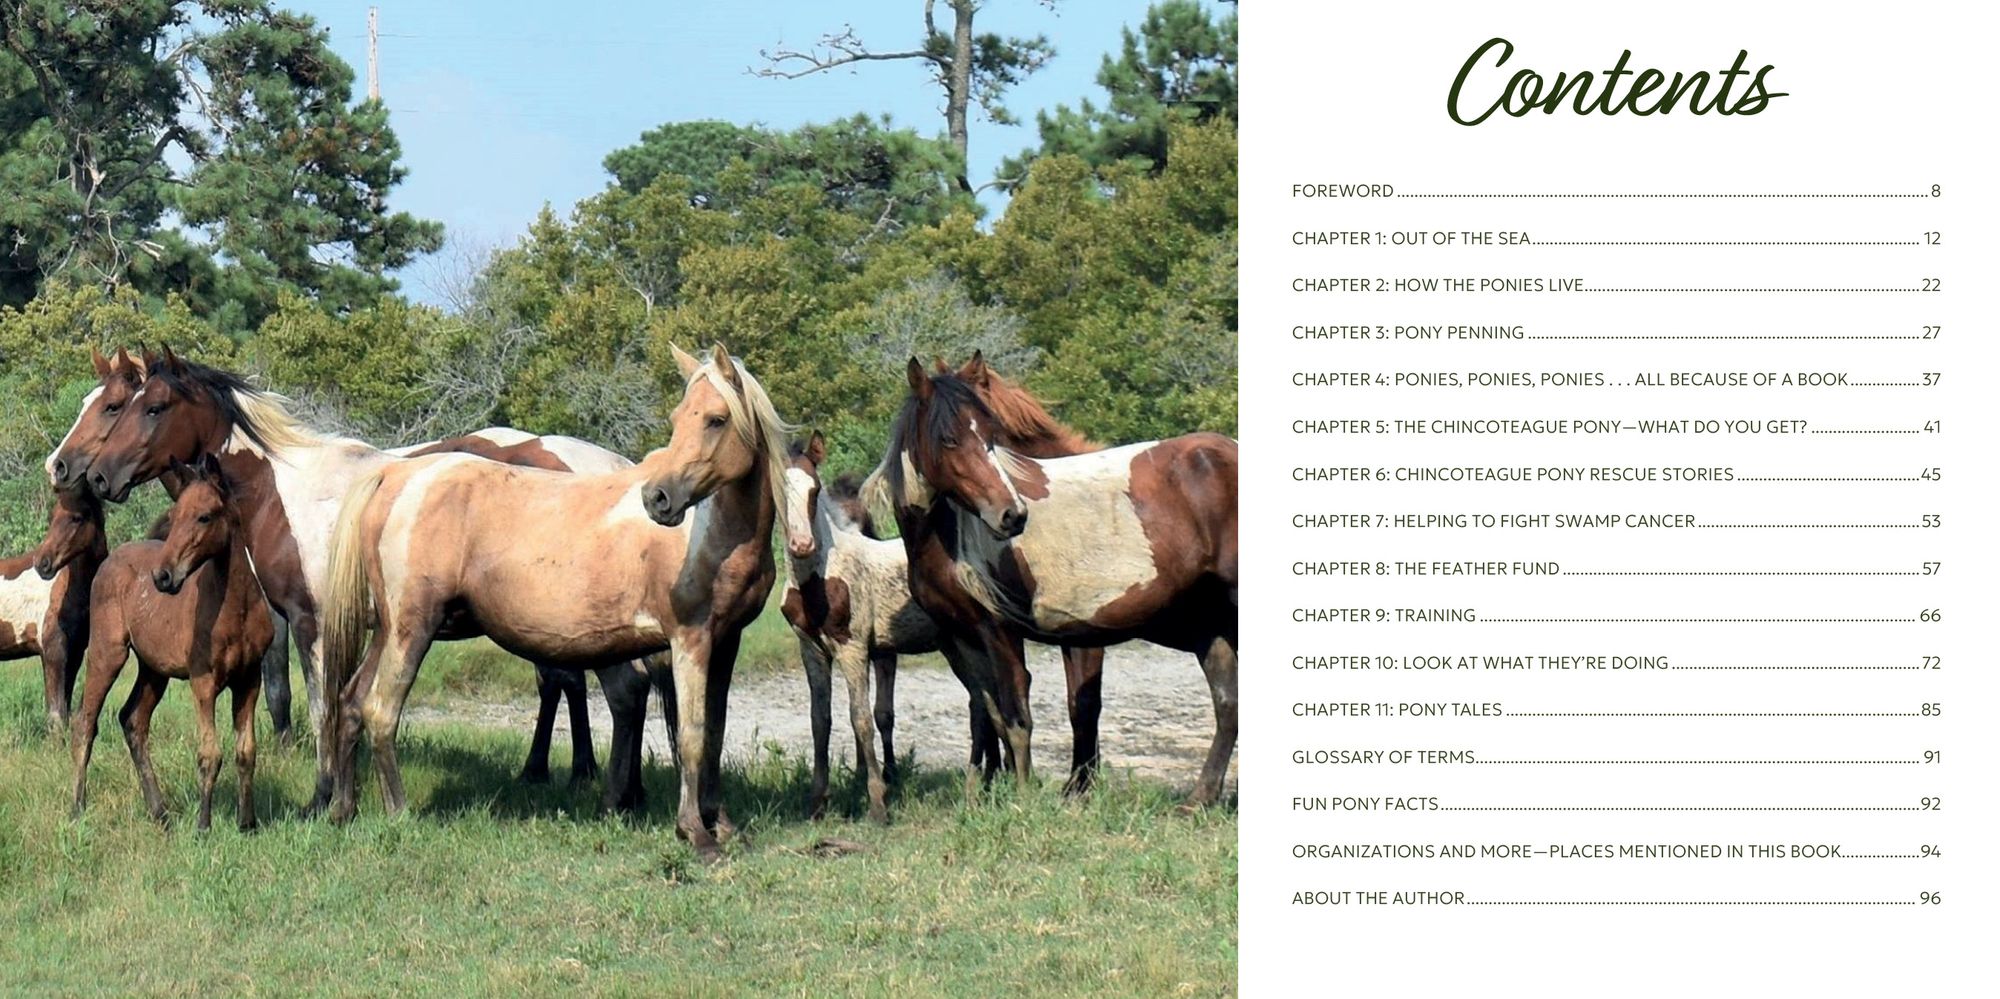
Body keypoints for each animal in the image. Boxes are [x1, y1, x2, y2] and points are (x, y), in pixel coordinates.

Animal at [1, 488, 107, 733]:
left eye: (77, 517)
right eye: (51, 517)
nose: (42, 563)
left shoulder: (75, 652)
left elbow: (64, 711)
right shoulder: (53, 650)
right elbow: (56, 714)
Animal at [69, 455, 277, 831]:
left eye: (204, 516)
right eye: (175, 514)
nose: (163, 577)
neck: (236, 609)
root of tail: (109, 560)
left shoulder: (250, 680)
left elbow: (245, 752)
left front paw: (247, 824)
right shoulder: (203, 682)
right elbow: (209, 754)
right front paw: (203, 826)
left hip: (154, 670)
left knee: (133, 721)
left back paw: (160, 811)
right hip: (108, 654)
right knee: (85, 723)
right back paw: (77, 808)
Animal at [318, 343, 790, 857]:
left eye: (717, 420)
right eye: (680, 417)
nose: (659, 499)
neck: (711, 535)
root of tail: (396, 474)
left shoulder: (725, 644)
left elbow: (715, 735)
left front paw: (722, 824)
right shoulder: (689, 640)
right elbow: (692, 736)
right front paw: (697, 834)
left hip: (388, 631)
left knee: (351, 702)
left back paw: (343, 809)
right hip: (412, 629)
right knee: (381, 710)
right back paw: (399, 813)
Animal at [779, 431, 941, 822]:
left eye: (814, 490)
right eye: (779, 491)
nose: (802, 545)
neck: (820, 578)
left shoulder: (852, 647)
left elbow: (862, 718)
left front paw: (878, 802)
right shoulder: (811, 649)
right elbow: (819, 721)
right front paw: (817, 802)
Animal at [873, 359, 1239, 806]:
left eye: (991, 436)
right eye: (949, 439)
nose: (1011, 515)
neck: (950, 533)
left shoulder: (1012, 631)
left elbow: (1029, 711)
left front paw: (1030, 794)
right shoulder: (964, 635)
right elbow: (988, 711)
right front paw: (987, 792)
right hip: (1211, 625)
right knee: (1227, 703)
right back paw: (1199, 799)